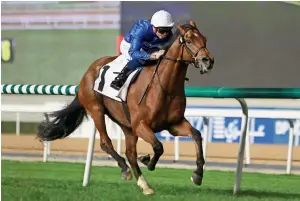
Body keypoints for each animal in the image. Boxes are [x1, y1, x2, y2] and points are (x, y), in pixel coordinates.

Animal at [37, 20, 214, 195]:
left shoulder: (174, 124)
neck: (164, 87)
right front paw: (148, 162)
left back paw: (144, 185)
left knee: (130, 153)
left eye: (205, 39)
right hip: (96, 110)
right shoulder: (141, 125)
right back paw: (125, 169)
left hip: (126, 124)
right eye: (189, 41)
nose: (208, 60)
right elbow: (158, 146)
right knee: (106, 143)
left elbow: (196, 135)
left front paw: (197, 174)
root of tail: (88, 71)